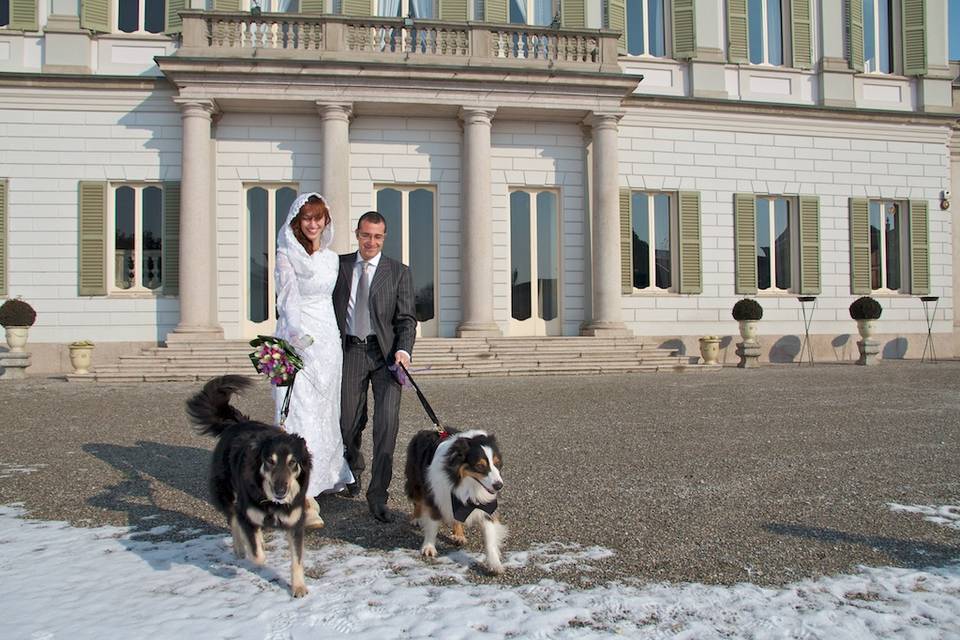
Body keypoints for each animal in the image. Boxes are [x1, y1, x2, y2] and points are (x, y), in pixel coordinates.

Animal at [190, 372, 316, 596]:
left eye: (292, 462)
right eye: (269, 461)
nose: (281, 491)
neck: (272, 502)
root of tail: (235, 423)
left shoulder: (295, 522)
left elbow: (297, 559)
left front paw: (299, 587)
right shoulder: (245, 511)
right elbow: (257, 555)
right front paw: (254, 550)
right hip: (225, 491)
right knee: (233, 518)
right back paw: (240, 548)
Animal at [404, 428, 506, 572]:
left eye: (497, 463)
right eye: (480, 466)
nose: (499, 486)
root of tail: (424, 430)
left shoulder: (487, 505)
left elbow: (489, 535)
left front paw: (495, 563)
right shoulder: (436, 495)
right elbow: (432, 524)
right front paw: (429, 547)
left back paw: (459, 535)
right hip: (416, 481)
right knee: (417, 501)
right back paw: (416, 519)